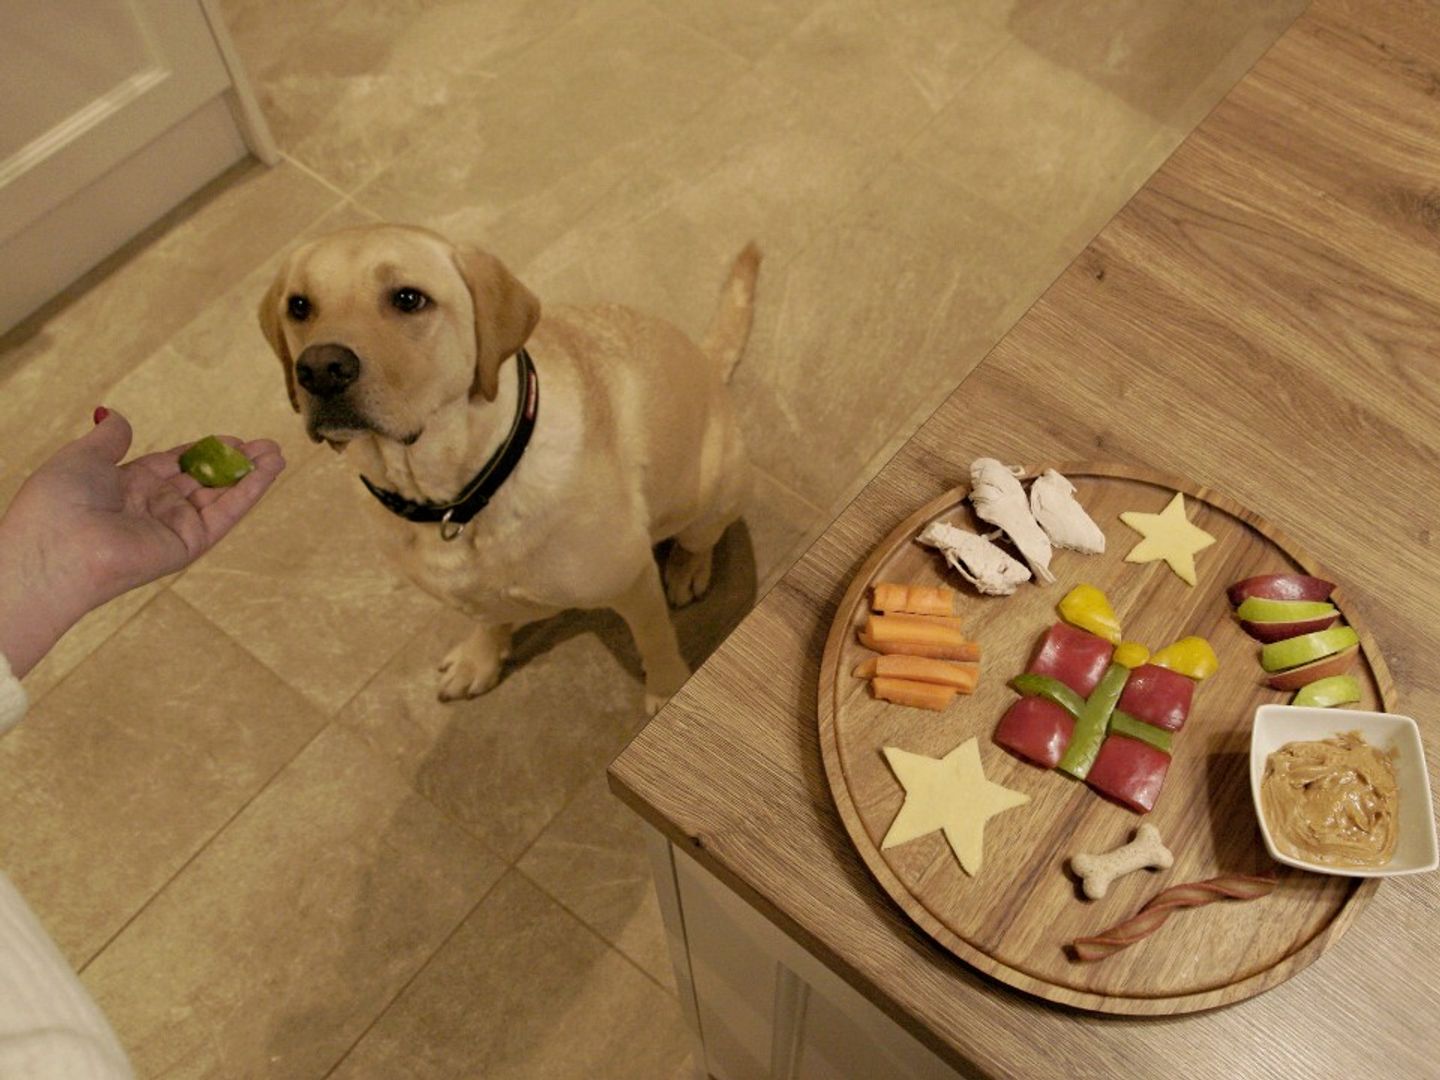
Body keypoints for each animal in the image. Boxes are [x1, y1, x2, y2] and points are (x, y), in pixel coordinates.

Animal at [260, 227, 760, 714]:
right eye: (299, 306)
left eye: (408, 299)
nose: (319, 369)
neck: (458, 497)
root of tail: (705, 361)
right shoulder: (475, 598)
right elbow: (490, 619)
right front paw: (479, 658)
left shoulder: (634, 582)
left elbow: (654, 640)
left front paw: (668, 689)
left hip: (718, 487)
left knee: (702, 538)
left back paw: (686, 567)